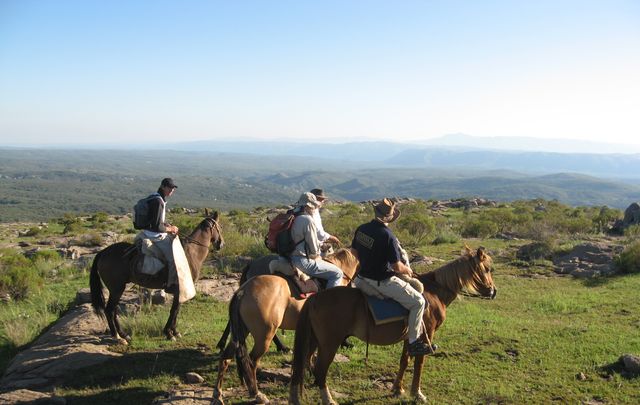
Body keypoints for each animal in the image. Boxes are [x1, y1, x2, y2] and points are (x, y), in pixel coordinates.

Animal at [90, 210, 224, 342]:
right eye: (219, 227)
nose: (221, 244)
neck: (192, 252)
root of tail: (103, 252)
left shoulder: (181, 291)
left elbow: (176, 310)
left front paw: (175, 332)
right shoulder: (179, 289)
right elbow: (174, 310)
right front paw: (169, 333)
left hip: (117, 289)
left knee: (113, 311)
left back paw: (123, 334)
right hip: (117, 289)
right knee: (110, 310)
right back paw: (117, 337)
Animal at [214, 248, 360, 402]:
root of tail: (243, 291)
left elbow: (308, 355)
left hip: (241, 332)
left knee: (225, 358)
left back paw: (218, 394)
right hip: (264, 337)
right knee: (251, 362)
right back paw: (257, 393)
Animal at [288, 245, 496, 402]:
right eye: (486, 269)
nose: (493, 291)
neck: (434, 292)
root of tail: (315, 298)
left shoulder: (411, 337)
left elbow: (405, 360)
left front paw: (397, 389)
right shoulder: (426, 334)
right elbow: (419, 363)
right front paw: (417, 393)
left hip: (314, 341)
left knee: (302, 366)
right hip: (330, 343)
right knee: (320, 371)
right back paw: (328, 400)